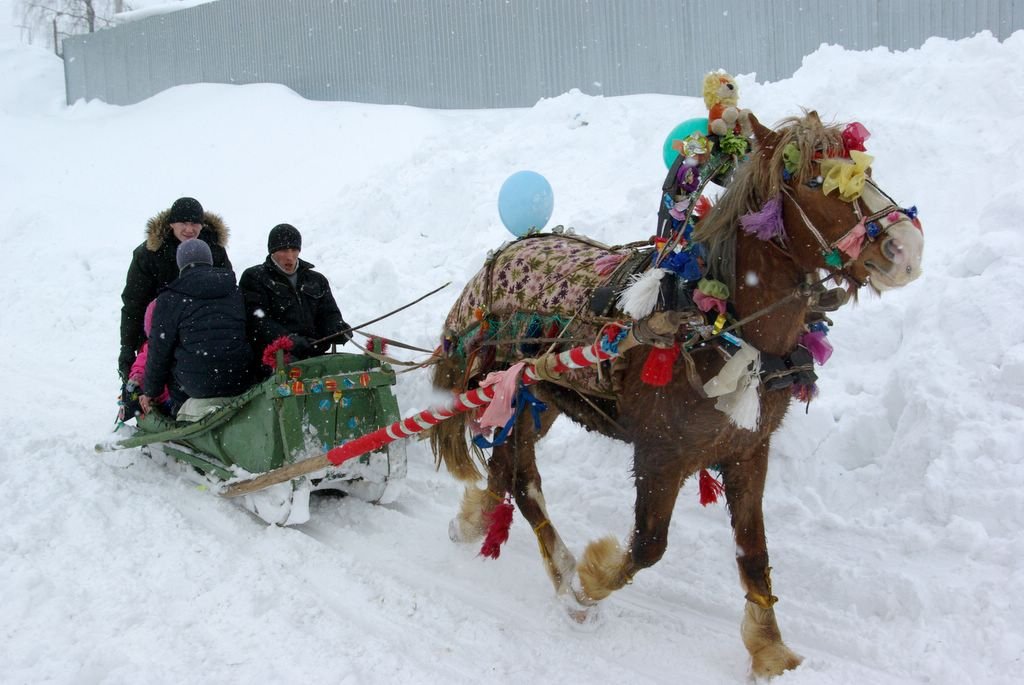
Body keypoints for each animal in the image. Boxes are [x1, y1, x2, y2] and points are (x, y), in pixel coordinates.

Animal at [428, 109, 925, 675]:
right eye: (816, 180)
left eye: (868, 167)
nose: (907, 249)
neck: (715, 322)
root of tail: (505, 252)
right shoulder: (659, 455)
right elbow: (648, 545)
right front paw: (588, 584)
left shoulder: (748, 450)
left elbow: (754, 552)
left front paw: (769, 647)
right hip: (511, 393)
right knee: (522, 480)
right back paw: (562, 575)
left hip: (535, 400)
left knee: (508, 471)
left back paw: (476, 522)